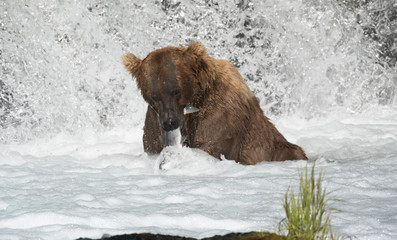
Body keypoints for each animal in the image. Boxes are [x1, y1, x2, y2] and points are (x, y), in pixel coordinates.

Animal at [122, 41, 308, 165]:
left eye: (176, 91)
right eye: (153, 96)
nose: (170, 123)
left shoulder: (223, 113)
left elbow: (210, 145)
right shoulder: (154, 119)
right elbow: (152, 145)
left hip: (274, 148)